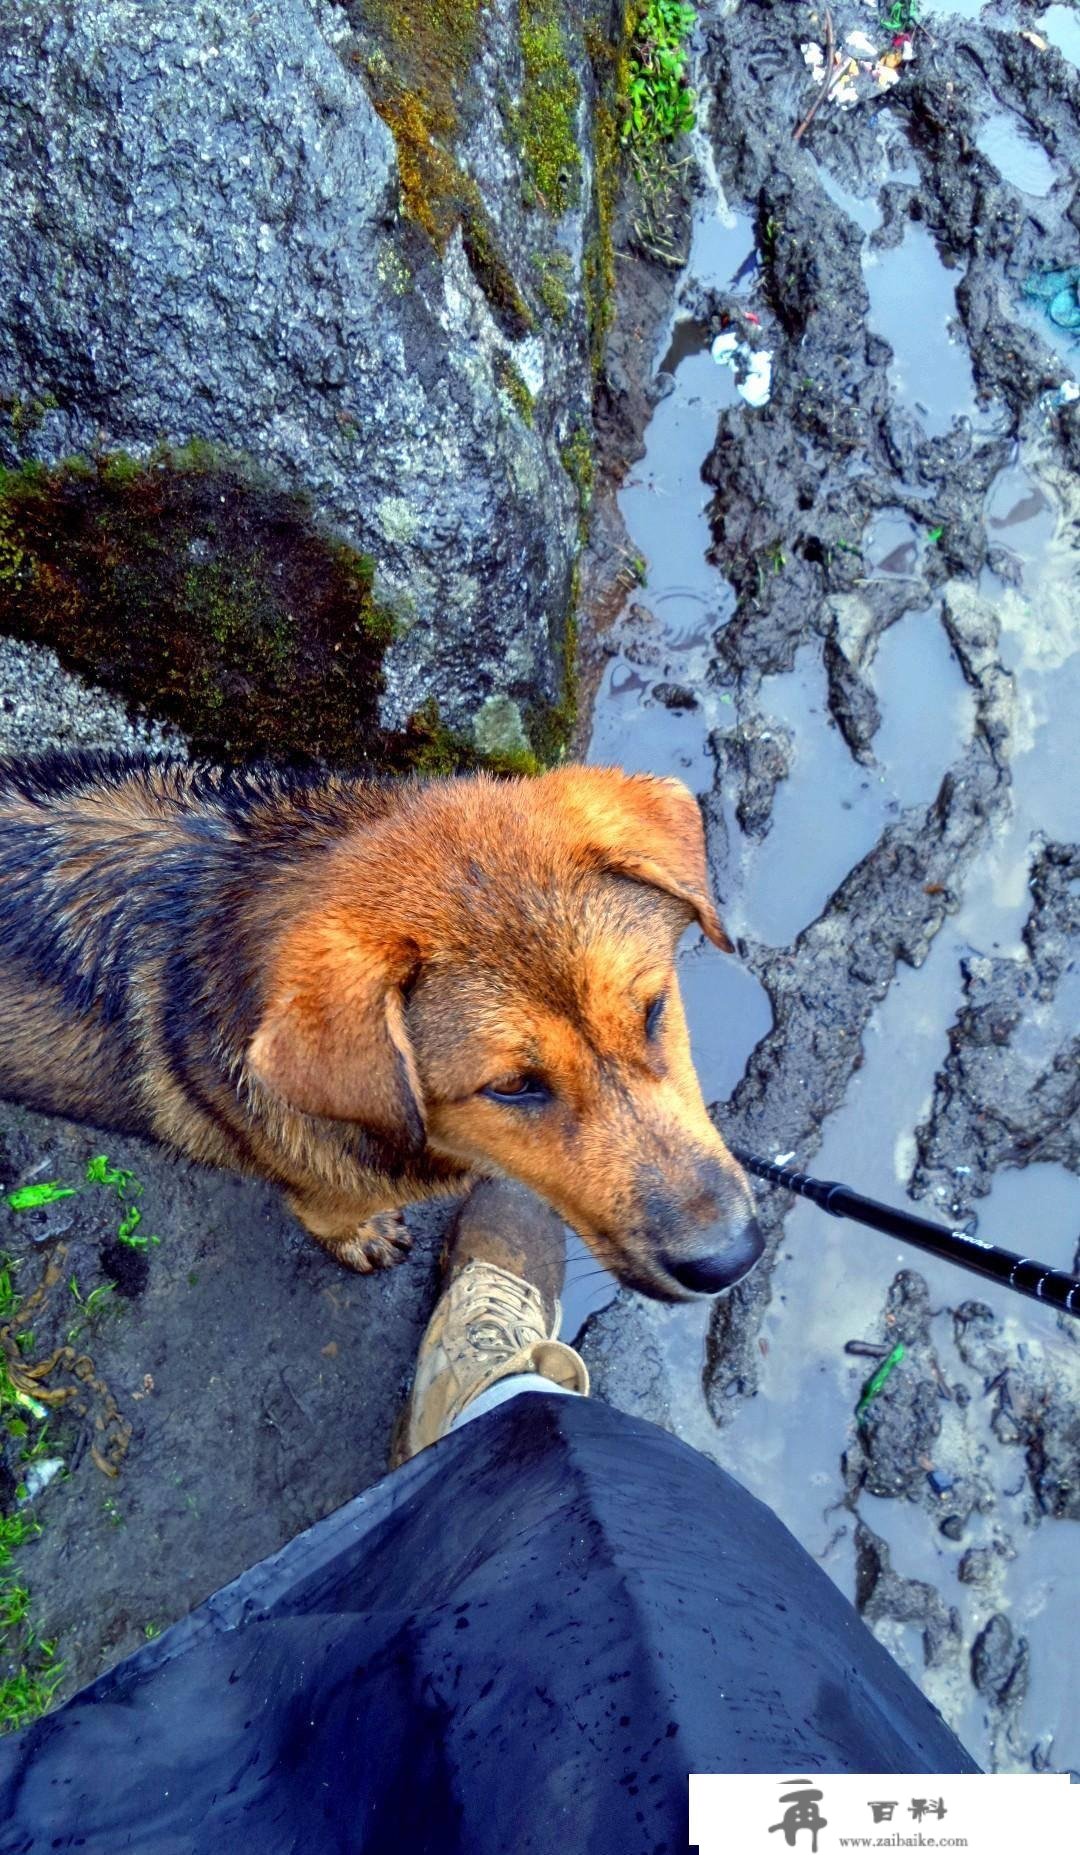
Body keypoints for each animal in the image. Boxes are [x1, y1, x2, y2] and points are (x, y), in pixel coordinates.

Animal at [0, 753, 760, 1305]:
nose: (732, 1260)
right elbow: (332, 1219)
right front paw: (361, 1238)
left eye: (653, 1010)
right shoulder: (321, 1191)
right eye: (513, 1086)